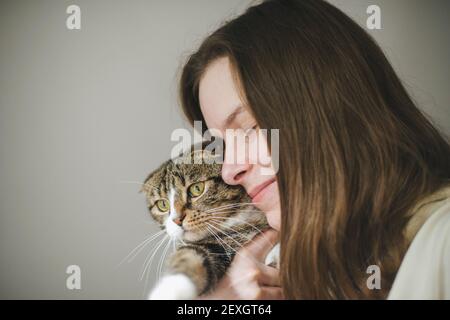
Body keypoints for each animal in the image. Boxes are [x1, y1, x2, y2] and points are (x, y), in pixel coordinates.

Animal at [142, 145, 280, 300]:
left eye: (197, 188)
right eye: (163, 205)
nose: (177, 219)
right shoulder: (213, 245)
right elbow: (190, 257)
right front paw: (167, 291)